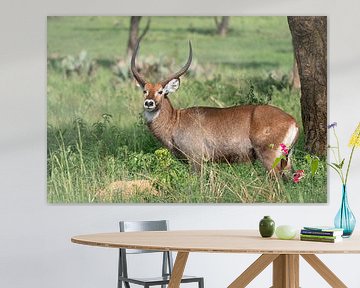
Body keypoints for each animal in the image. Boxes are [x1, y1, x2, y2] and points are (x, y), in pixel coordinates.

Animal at [131, 40, 300, 173]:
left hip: (269, 158)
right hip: (286, 160)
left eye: (161, 91)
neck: (175, 121)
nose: (149, 103)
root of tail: (293, 121)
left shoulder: (196, 159)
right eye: (145, 90)